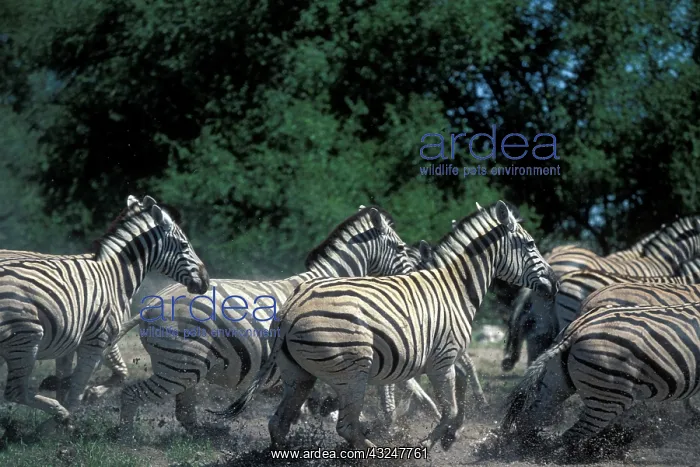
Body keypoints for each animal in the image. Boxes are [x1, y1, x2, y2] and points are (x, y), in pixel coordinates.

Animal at [0, 195, 210, 435]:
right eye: (184, 245)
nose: (206, 281)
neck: (115, 276)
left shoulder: (71, 338)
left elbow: (72, 381)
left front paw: (66, 415)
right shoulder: (98, 338)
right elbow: (79, 388)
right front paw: (61, 423)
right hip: (25, 339)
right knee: (15, 391)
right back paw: (58, 413)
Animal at [108, 206, 430, 437]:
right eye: (401, 249)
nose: (413, 278)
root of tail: (152, 303)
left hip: (187, 367)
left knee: (184, 413)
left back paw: (209, 435)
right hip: (179, 367)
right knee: (133, 395)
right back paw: (127, 438)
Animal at [214, 200, 558, 450]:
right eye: (530, 244)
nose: (554, 283)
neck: (455, 287)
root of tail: (292, 308)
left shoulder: (438, 358)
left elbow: (452, 397)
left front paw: (447, 435)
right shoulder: (443, 359)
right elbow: (447, 408)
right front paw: (428, 443)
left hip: (300, 374)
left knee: (279, 422)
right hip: (353, 371)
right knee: (346, 426)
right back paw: (375, 452)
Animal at [496, 300, 700, 459]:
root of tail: (578, 329)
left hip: (557, 383)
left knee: (532, 417)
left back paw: (527, 448)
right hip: (610, 395)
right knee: (575, 434)